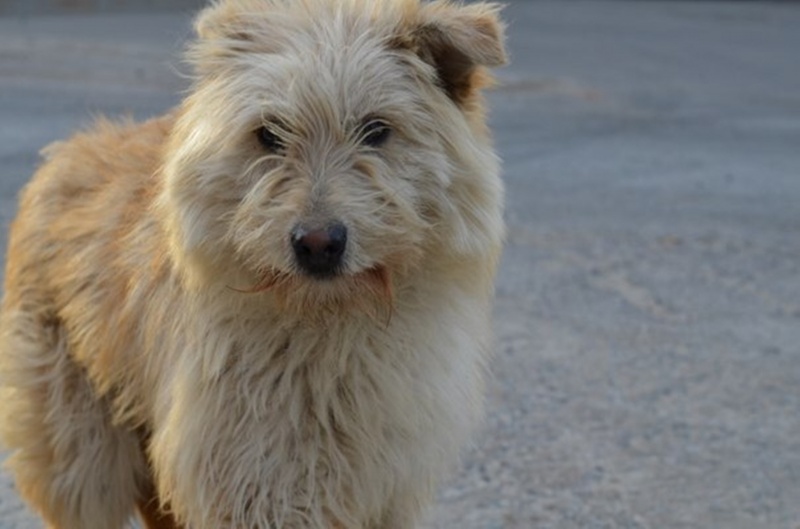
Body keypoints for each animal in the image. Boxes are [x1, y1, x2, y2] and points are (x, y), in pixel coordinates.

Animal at [0, 2, 506, 524]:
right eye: (270, 134)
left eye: (376, 130)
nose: (317, 244)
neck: (330, 325)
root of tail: (65, 153)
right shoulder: (253, 484)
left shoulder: (387, 490)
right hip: (81, 459)